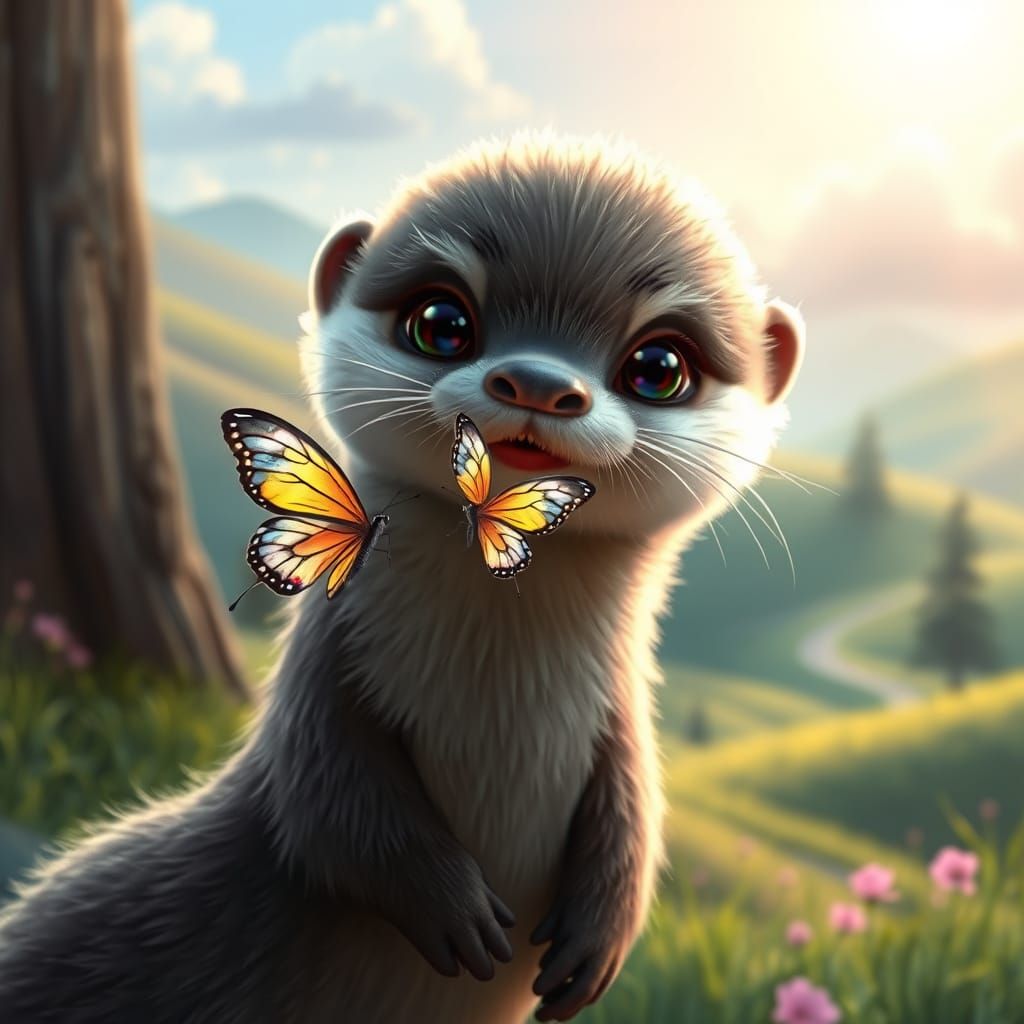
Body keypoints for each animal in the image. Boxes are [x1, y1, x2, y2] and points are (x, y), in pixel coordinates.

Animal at [0, 134, 803, 1023]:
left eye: (660, 364)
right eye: (441, 321)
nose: (537, 382)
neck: (499, 692)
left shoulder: (624, 715)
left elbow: (636, 814)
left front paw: (599, 942)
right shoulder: (321, 682)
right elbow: (330, 805)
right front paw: (457, 911)